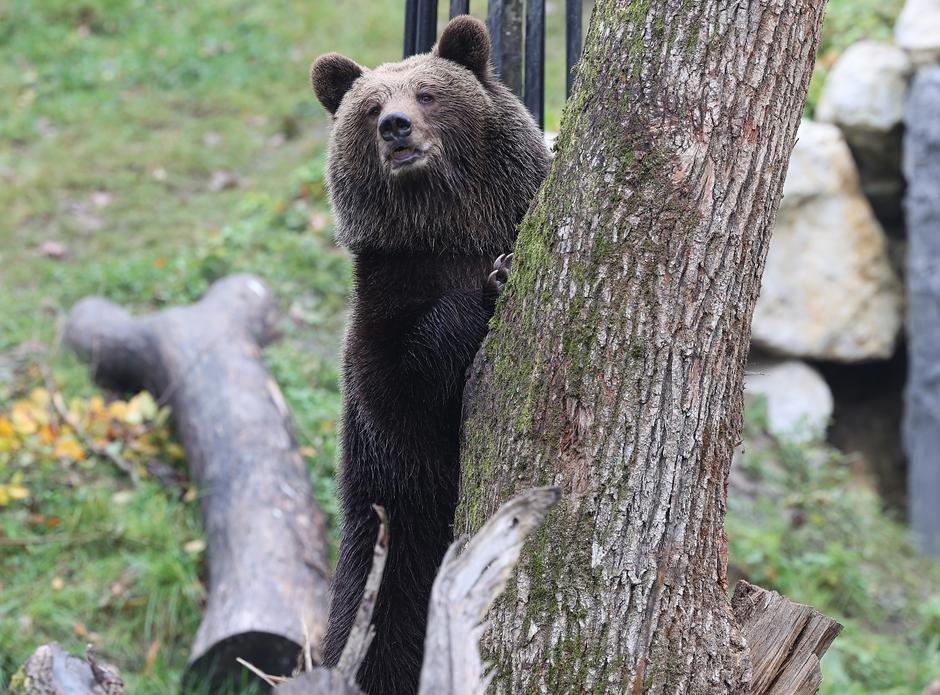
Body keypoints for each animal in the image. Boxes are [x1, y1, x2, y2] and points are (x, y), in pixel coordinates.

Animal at [312, 16, 548, 695]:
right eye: (369, 107)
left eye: (427, 92)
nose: (396, 127)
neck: (446, 230)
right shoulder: (384, 307)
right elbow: (402, 392)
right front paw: (492, 286)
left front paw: (499, 272)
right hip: (394, 553)